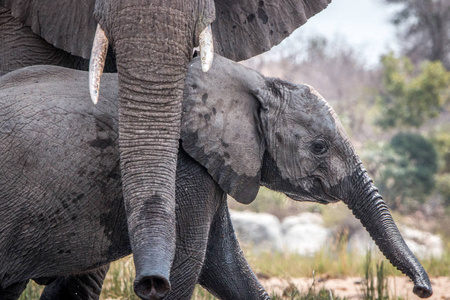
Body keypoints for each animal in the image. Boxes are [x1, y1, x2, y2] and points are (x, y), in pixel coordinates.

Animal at [0, 55, 436, 298]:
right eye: (319, 147)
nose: (423, 289)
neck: (255, 80)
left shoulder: (214, 164)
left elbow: (224, 266)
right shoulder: (182, 164)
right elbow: (189, 263)